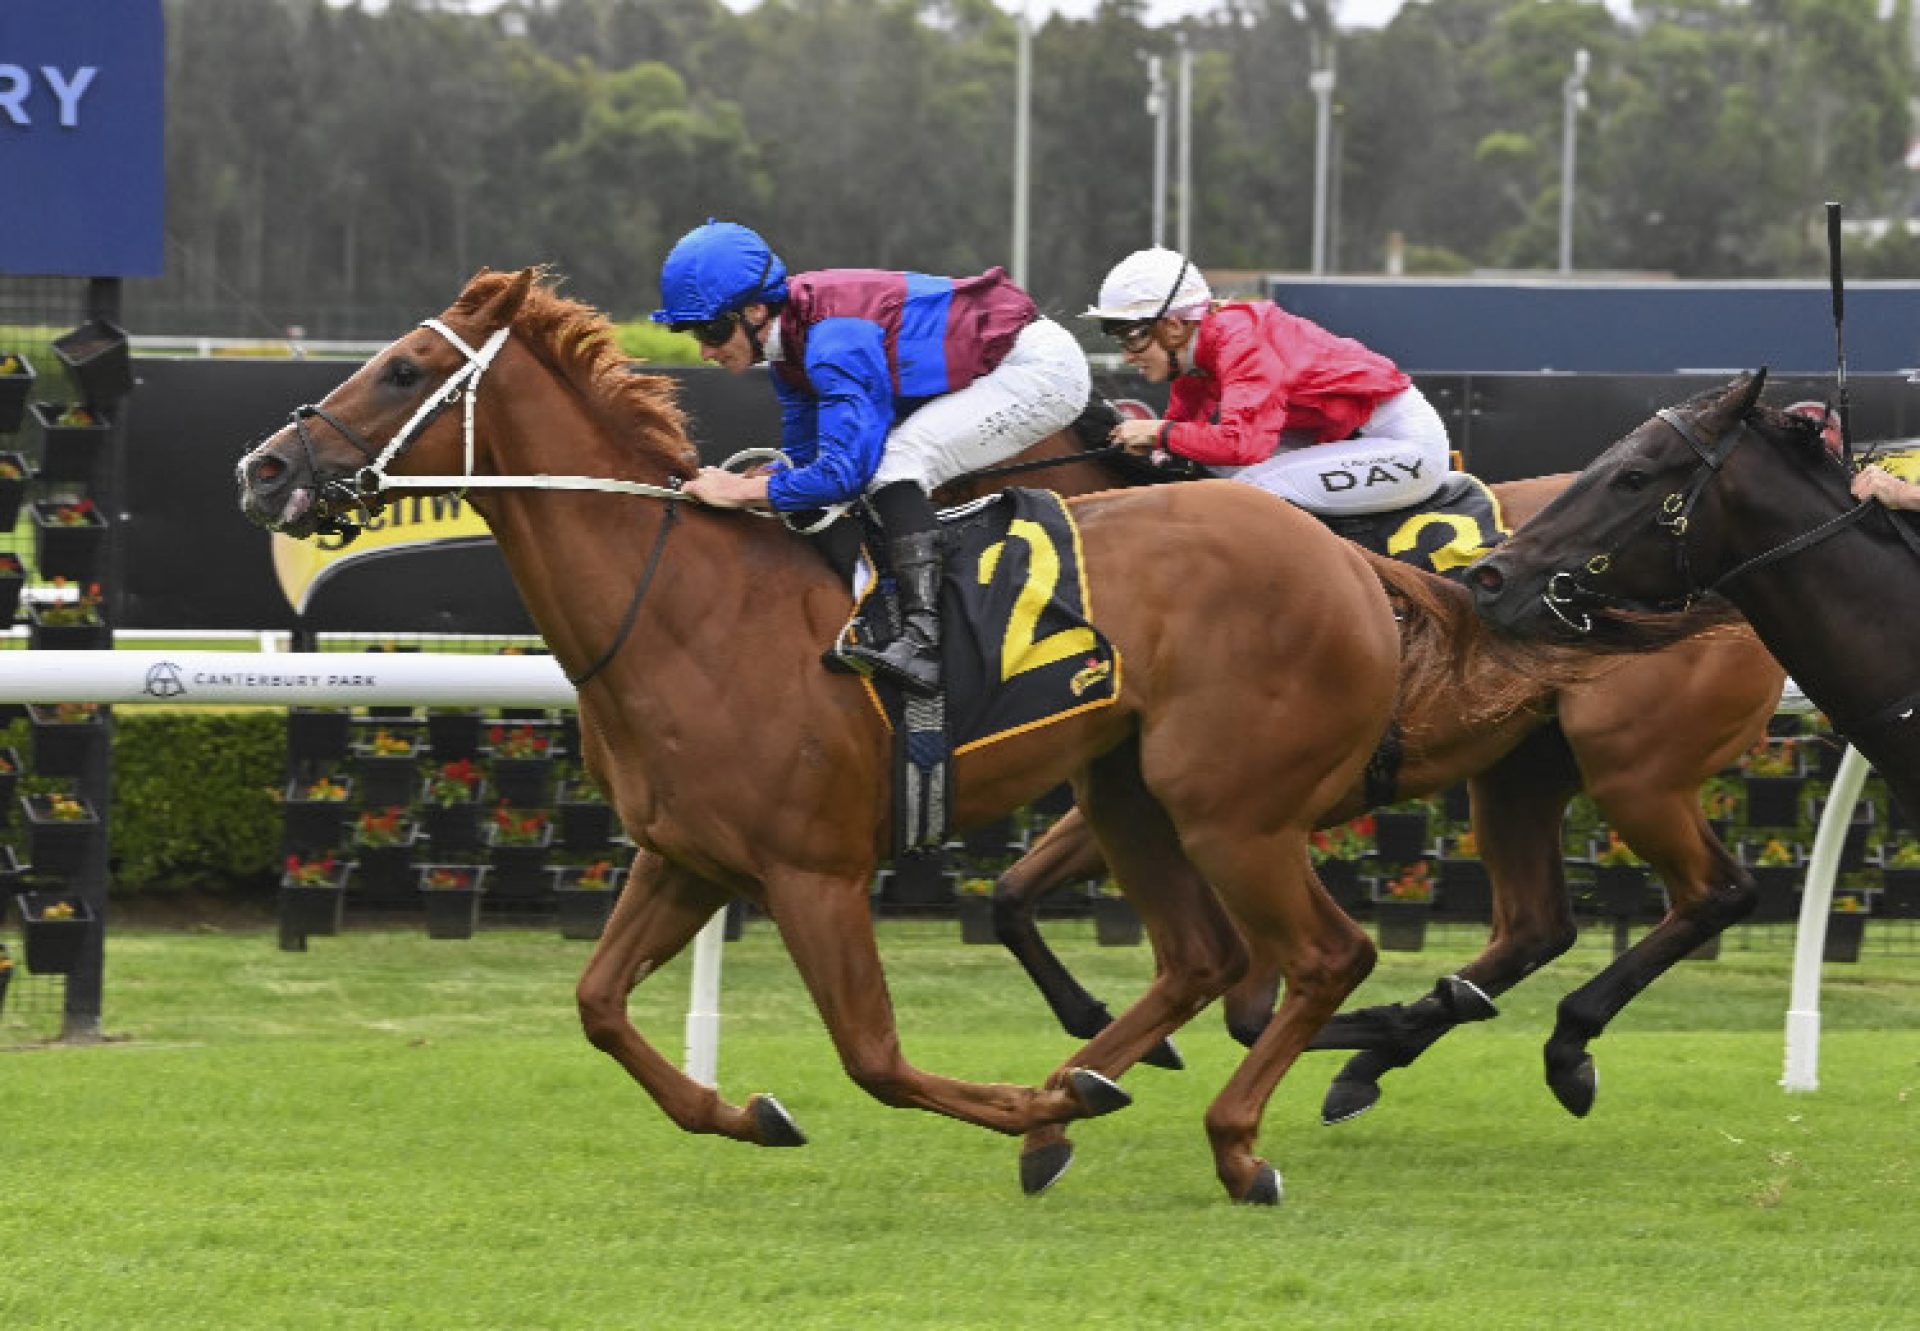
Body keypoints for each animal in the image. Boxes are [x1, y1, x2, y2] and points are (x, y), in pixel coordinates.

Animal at [236, 270, 1451, 1206]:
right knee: (1206, 957)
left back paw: (1231, 1141)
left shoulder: (812, 870)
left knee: (1322, 955)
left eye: (401, 369)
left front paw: (1025, 1098)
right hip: (1130, 788)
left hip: (1234, 809)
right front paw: (756, 1111)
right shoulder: (686, 857)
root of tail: (1349, 558)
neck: (680, 603)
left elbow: (875, 1057)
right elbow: (598, 1006)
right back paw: (1084, 1100)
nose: (264, 468)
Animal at [940, 412, 1781, 1121]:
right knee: (1536, 925)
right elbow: (1012, 894)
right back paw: (1393, 1050)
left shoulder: (1230, 807)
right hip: (1522, 772)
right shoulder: (1168, 795)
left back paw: (1559, 1042)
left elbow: (1250, 1010)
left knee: (1717, 891)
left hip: (1634, 770)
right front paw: (1109, 1025)